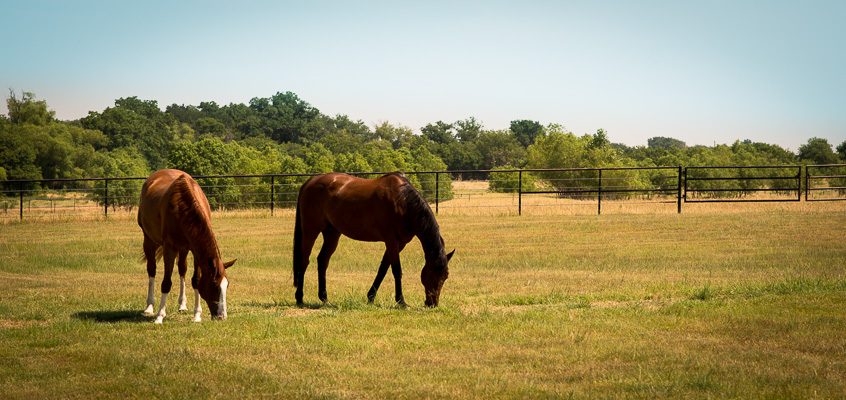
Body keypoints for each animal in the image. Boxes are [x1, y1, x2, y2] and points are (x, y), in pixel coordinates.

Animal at [137, 169, 236, 324]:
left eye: (227, 285)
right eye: (214, 286)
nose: (221, 316)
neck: (182, 206)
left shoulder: (195, 250)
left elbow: (196, 280)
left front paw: (197, 315)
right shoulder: (169, 248)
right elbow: (166, 283)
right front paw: (160, 316)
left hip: (183, 249)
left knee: (182, 269)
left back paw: (182, 305)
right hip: (148, 241)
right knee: (151, 269)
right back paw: (149, 307)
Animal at [293, 172, 454, 307]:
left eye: (445, 276)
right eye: (433, 272)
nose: (432, 303)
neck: (403, 202)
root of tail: (310, 182)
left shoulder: (399, 244)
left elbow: (383, 269)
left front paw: (371, 297)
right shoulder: (391, 241)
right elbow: (396, 270)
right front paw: (401, 301)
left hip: (332, 233)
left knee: (323, 260)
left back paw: (324, 298)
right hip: (311, 231)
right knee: (304, 261)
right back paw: (299, 298)